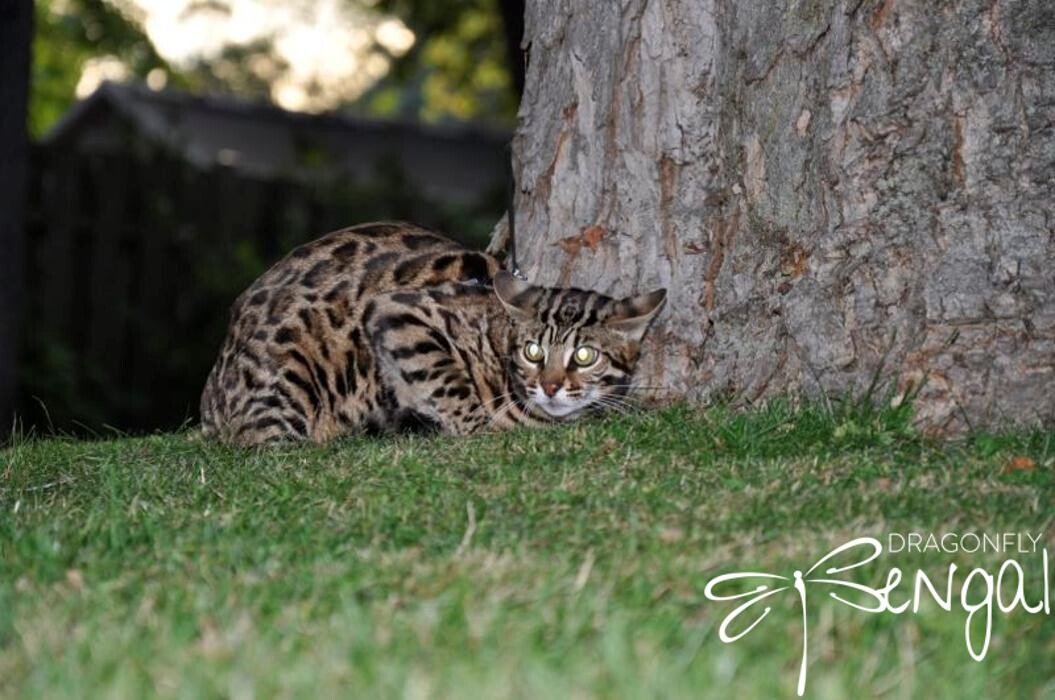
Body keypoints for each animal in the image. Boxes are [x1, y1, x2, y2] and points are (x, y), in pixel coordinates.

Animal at [201, 221, 666, 444]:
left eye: (585, 357)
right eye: (533, 351)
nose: (550, 387)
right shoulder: (399, 310)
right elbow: (446, 378)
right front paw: (477, 426)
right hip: (291, 371)